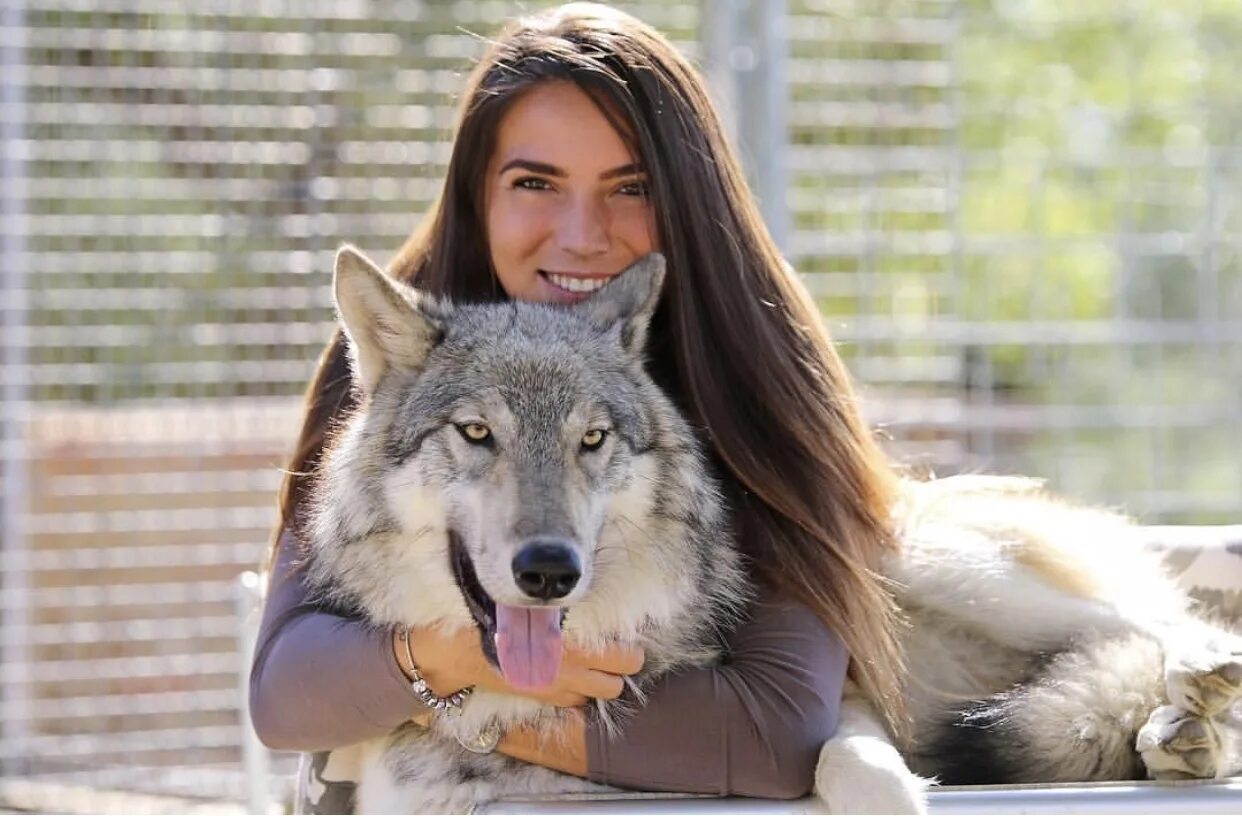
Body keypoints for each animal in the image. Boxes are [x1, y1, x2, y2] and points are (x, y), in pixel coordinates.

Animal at [295, 244, 1237, 809]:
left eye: (591, 439)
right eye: (476, 432)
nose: (549, 570)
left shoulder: (841, 711)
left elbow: (848, 765)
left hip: (940, 570)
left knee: (1164, 620)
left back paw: (1197, 688)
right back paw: (1178, 740)